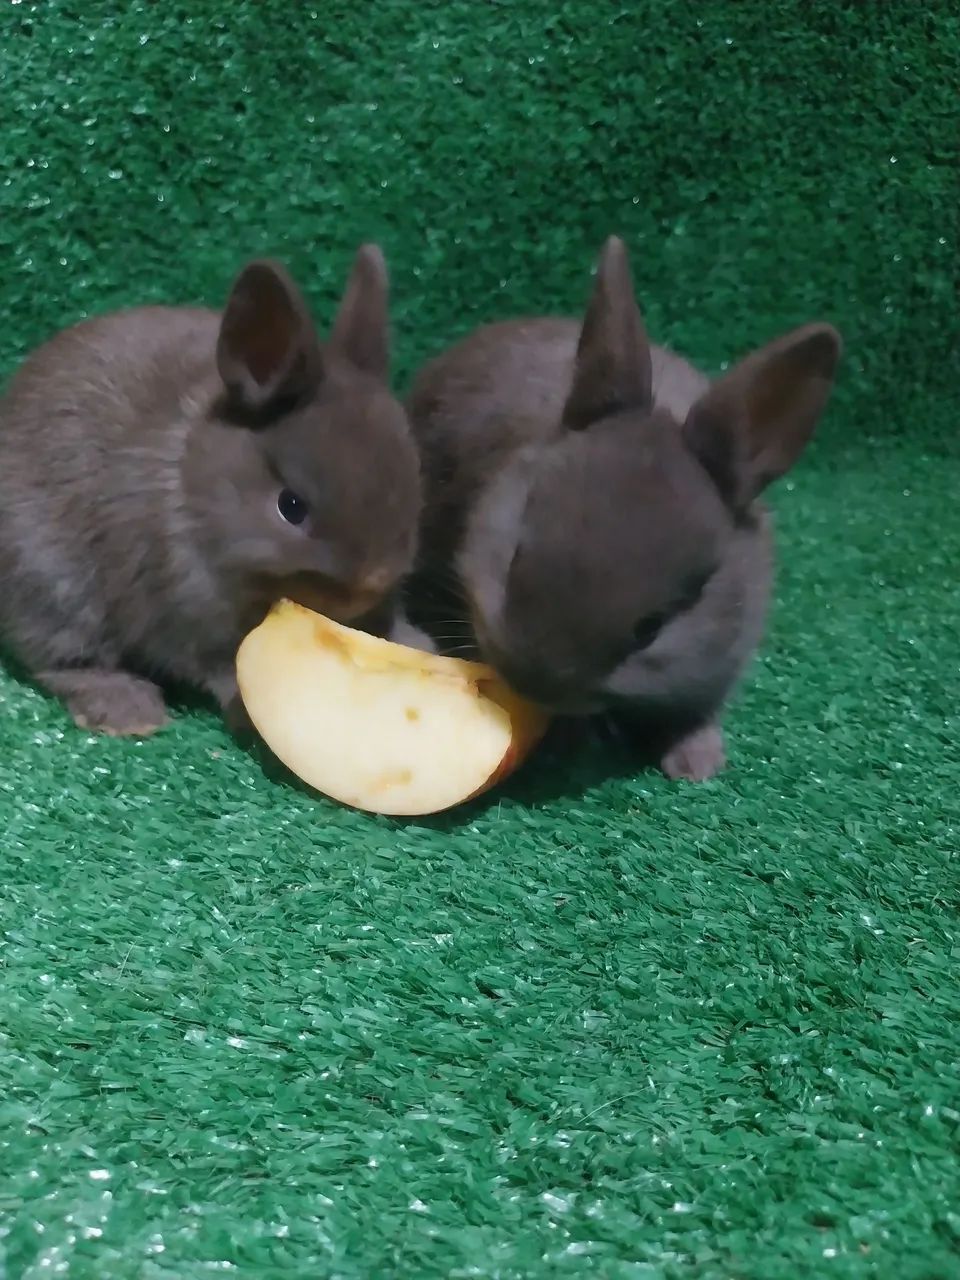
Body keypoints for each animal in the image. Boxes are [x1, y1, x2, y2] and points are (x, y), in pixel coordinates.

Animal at [0, 244, 423, 736]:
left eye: (411, 480)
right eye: (291, 507)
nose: (370, 583)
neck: (192, 489)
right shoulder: (183, 608)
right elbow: (216, 662)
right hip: (53, 589)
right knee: (64, 661)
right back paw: (130, 712)